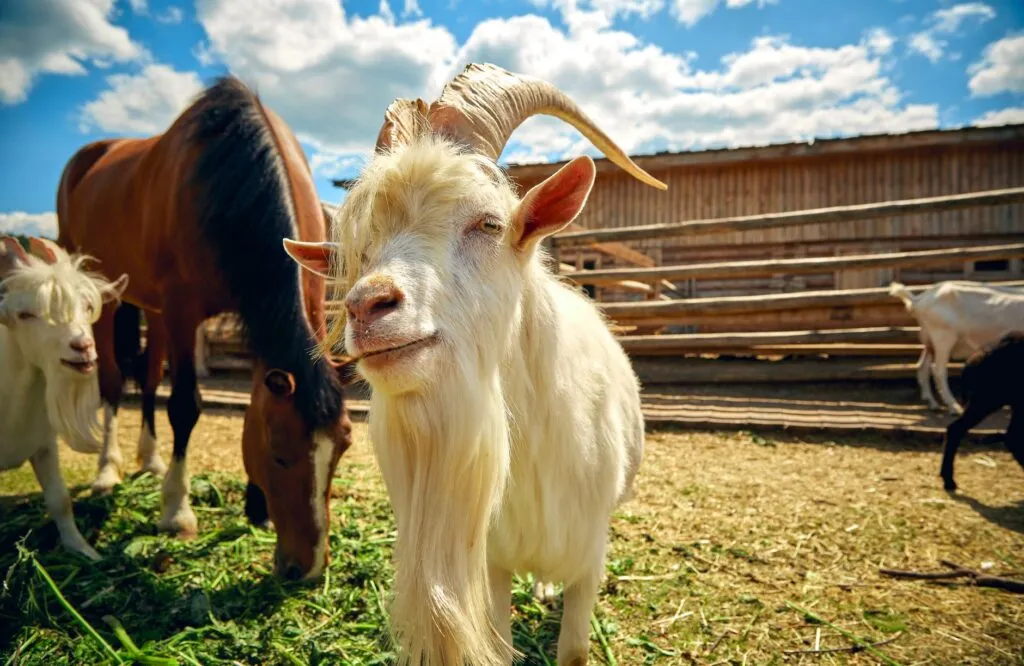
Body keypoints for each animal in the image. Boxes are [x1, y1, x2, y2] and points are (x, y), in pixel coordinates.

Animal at [0, 236, 127, 559]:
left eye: (87, 306)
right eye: (25, 315)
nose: (82, 347)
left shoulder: (45, 443)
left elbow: (60, 499)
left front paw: (85, 551)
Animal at [285, 63, 665, 665]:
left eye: (488, 224)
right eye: (361, 251)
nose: (367, 306)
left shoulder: (589, 558)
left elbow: (575, 650)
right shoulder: (493, 564)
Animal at [889, 280, 1024, 414]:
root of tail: (918, 300)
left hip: (929, 341)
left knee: (923, 367)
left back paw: (933, 404)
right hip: (943, 337)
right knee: (938, 371)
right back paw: (954, 407)